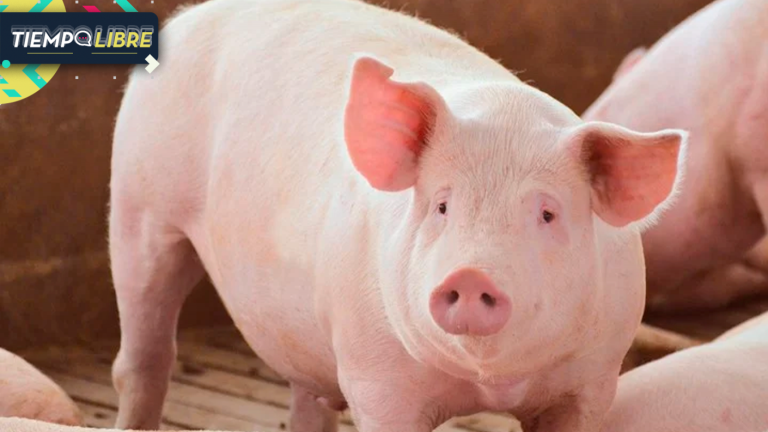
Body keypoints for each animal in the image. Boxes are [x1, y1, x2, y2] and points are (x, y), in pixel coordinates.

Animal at [108, 0, 687, 431]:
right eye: (442, 205)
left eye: (547, 213)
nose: (471, 274)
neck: (487, 384)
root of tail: (190, 16)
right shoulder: (376, 375)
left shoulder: (592, 379)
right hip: (139, 203)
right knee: (143, 356)